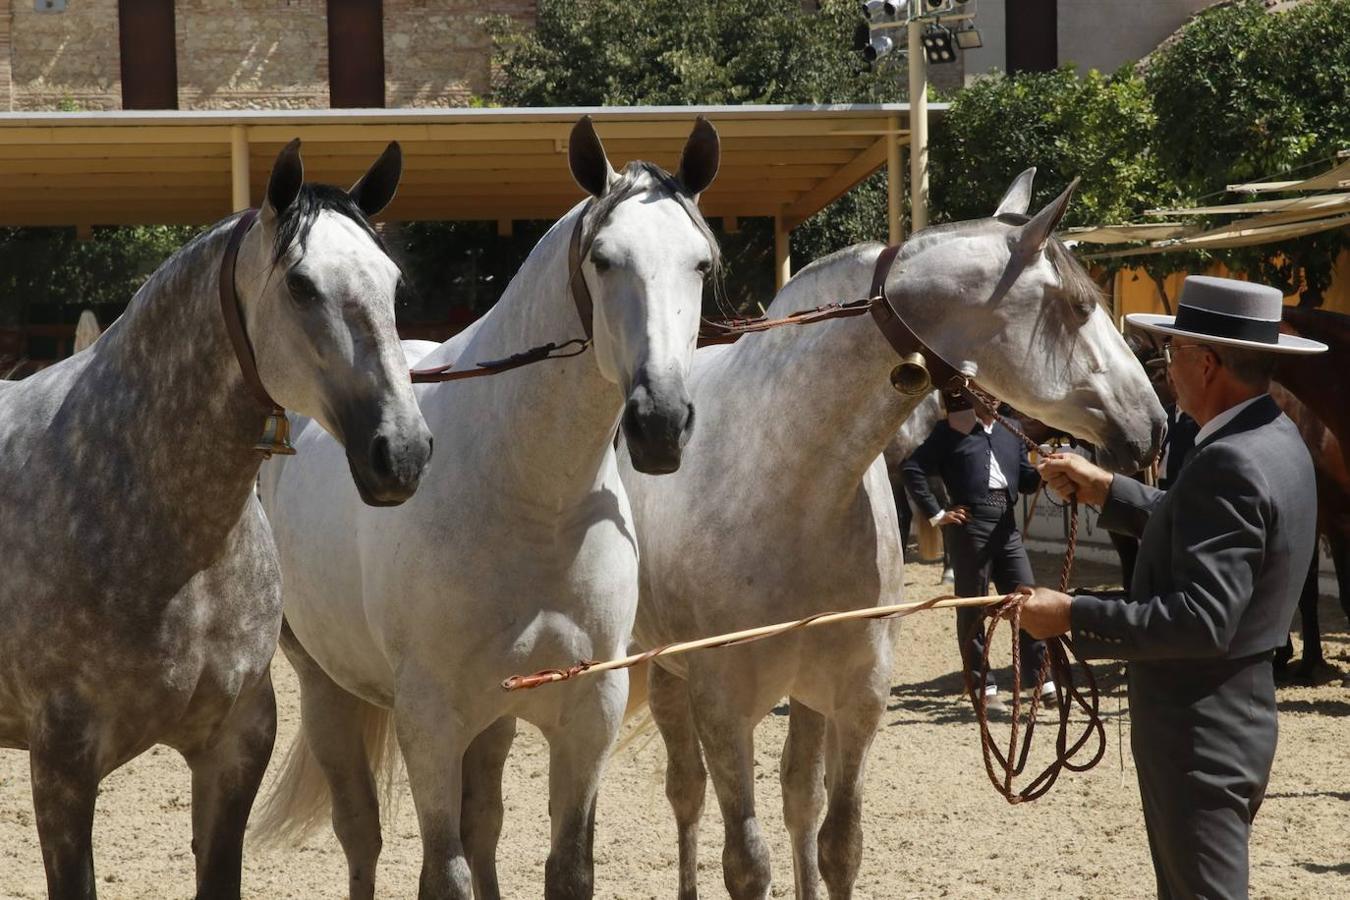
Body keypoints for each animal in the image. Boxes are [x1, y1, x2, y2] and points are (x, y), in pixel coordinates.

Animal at [618, 170, 1161, 900]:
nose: (1154, 424)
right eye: (1078, 306)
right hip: (664, 674)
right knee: (686, 794)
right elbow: (746, 863)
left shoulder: (856, 700)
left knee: (797, 797)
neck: (785, 484)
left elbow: (837, 843)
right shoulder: (724, 711)